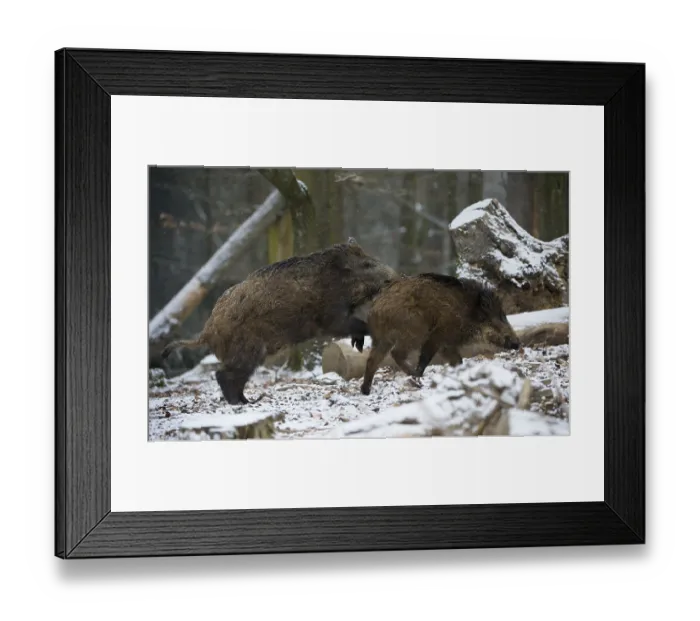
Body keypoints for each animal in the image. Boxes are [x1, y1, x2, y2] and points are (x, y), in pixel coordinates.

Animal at [162, 238, 397, 405]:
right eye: (367, 264)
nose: (394, 276)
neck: (335, 280)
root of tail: (206, 333)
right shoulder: (329, 317)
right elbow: (353, 324)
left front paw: (359, 346)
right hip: (248, 352)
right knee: (223, 374)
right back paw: (241, 404)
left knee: (234, 378)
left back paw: (247, 401)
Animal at [360, 273, 521, 395]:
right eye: (493, 319)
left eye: (504, 316)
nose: (517, 343)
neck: (468, 312)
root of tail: (377, 307)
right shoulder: (438, 336)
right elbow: (425, 357)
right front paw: (419, 376)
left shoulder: (447, 344)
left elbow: (457, 360)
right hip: (414, 330)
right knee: (396, 353)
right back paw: (415, 377)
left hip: (382, 338)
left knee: (373, 359)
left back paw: (365, 390)